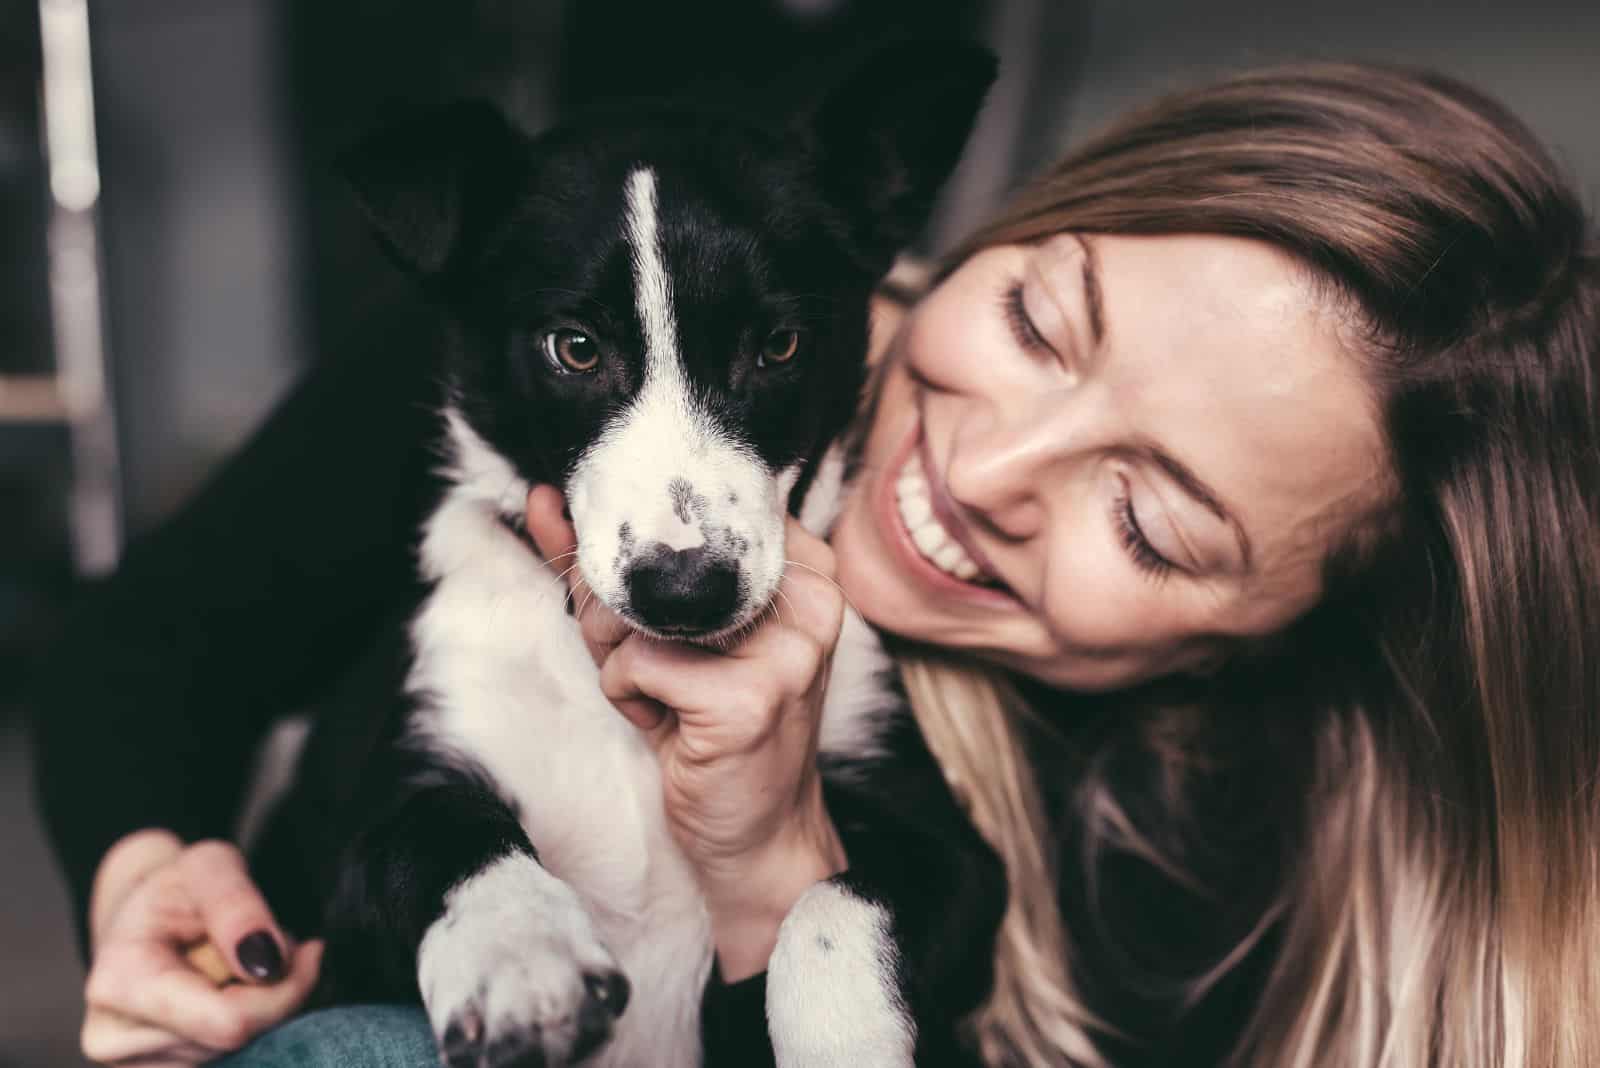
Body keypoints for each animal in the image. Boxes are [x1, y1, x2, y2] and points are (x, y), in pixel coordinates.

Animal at [291, 41, 998, 1068]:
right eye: (575, 349)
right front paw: (521, 953)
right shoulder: (364, 851)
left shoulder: (949, 847)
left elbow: (837, 899)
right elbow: (440, 834)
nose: (686, 592)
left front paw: (843, 1031)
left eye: (780, 345)